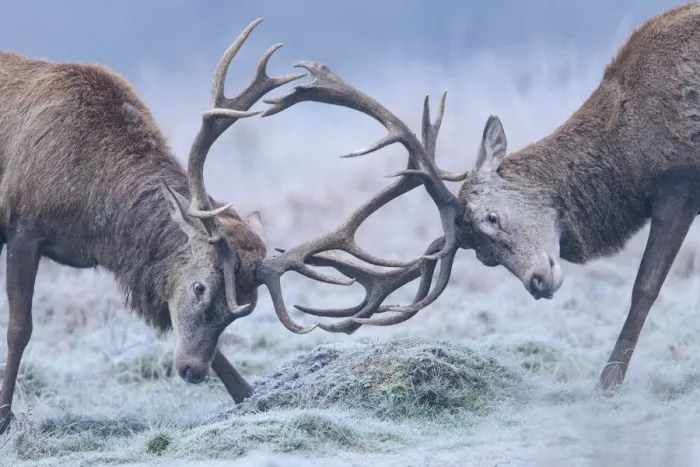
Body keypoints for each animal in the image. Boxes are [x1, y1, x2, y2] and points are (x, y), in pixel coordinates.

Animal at [0, 17, 471, 435]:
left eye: (242, 307)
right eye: (199, 287)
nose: (191, 371)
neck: (98, 226)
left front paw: (249, 397)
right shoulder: (25, 227)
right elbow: (20, 328)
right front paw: (5, 419)